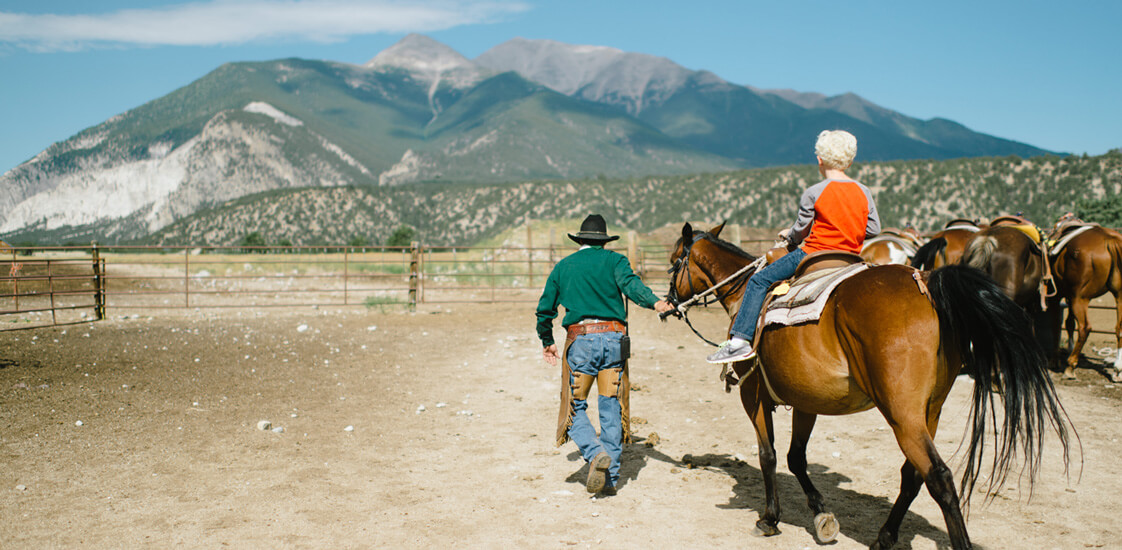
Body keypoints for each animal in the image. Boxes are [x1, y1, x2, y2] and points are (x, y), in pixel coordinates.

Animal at [664, 223, 1068, 550]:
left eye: (672, 262)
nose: (667, 304)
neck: (745, 292)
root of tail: (927, 286)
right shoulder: (806, 400)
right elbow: (796, 458)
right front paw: (821, 515)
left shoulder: (753, 393)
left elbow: (769, 455)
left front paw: (770, 518)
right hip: (929, 411)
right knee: (912, 475)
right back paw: (885, 537)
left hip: (902, 413)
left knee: (939, 476)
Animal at [1045, 216, 1122, 379]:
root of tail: (1110, 240)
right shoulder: (1069, 297)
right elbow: (1069, 323)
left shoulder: (1056, 296)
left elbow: (1056, 324)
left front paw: (1054, 360)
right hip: (1119, 296)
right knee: (1119, 328)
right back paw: (1117, 370)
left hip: (1080, 298)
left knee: (1084, 327)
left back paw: (1070, 366)